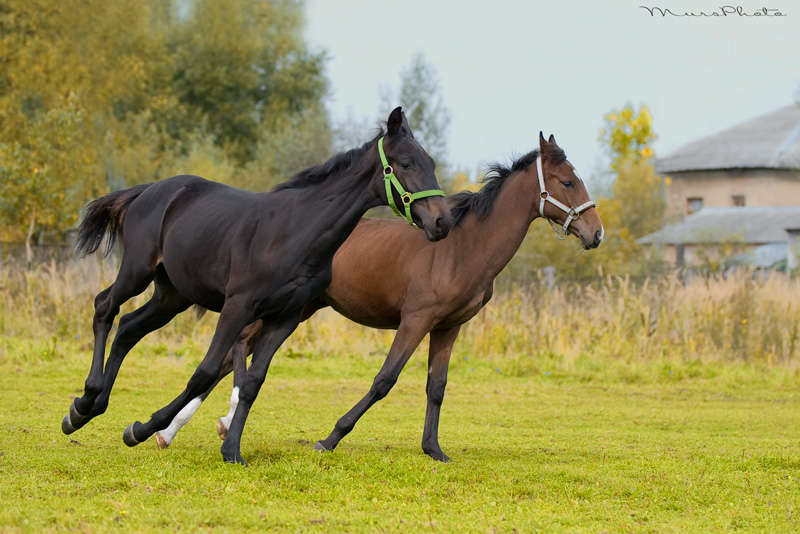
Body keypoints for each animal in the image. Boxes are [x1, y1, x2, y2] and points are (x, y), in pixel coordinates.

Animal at [156, 132, 604, 462]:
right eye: (567, 181)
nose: (596, 233)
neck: (463, 247)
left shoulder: (449, 327)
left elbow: (437, 386)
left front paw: (434, 450)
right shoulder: (416, 320)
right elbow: (385, 380)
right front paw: (329, 439)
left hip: (297, 309)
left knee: (233, 356)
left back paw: (190, 429)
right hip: (286, 309)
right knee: (234, 350)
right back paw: (186, 428)